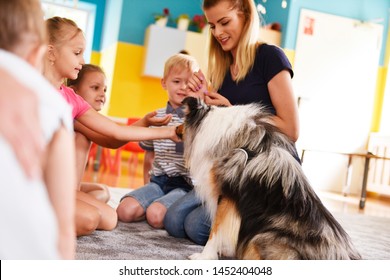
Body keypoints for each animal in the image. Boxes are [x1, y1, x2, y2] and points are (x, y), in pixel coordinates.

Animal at [176, 97, 360, 262]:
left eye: (182, 119)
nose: (175, 128)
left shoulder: (226, 192)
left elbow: (215, 229)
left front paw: (204, 256)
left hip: (261, 238)